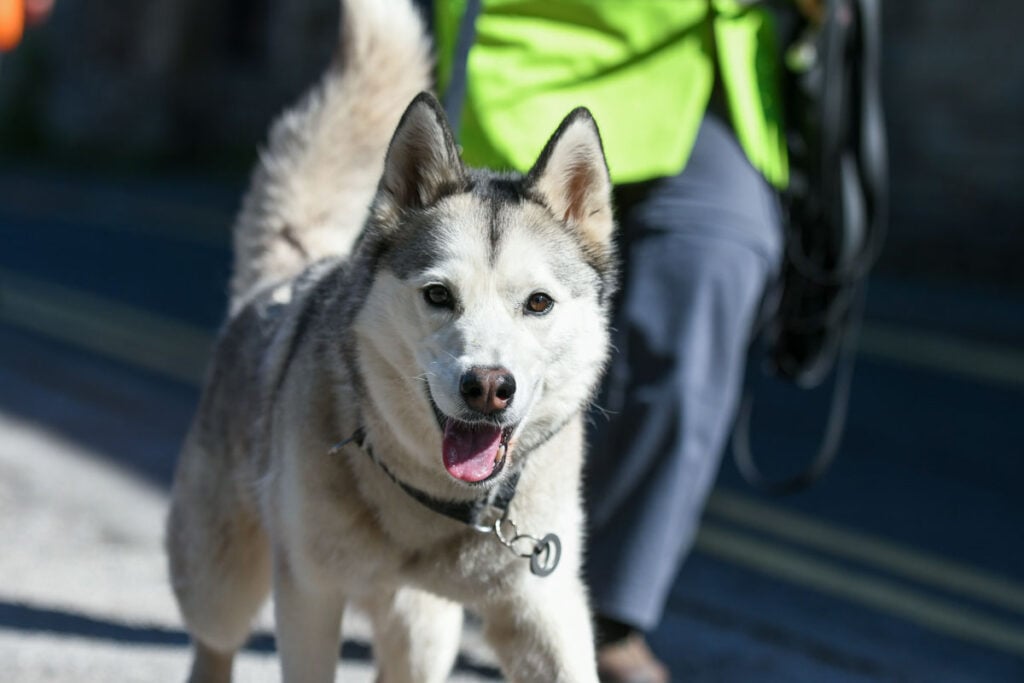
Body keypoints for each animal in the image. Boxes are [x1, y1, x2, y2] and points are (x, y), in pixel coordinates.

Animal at [166, 0, 614, 679]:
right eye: (438, 295)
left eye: (538, 303)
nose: (489, 388)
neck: (437, 510)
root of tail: (294, 268)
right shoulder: (308, 594)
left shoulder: (542, 608)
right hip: (219, 579)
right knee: (215, 639)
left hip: (425, 633)